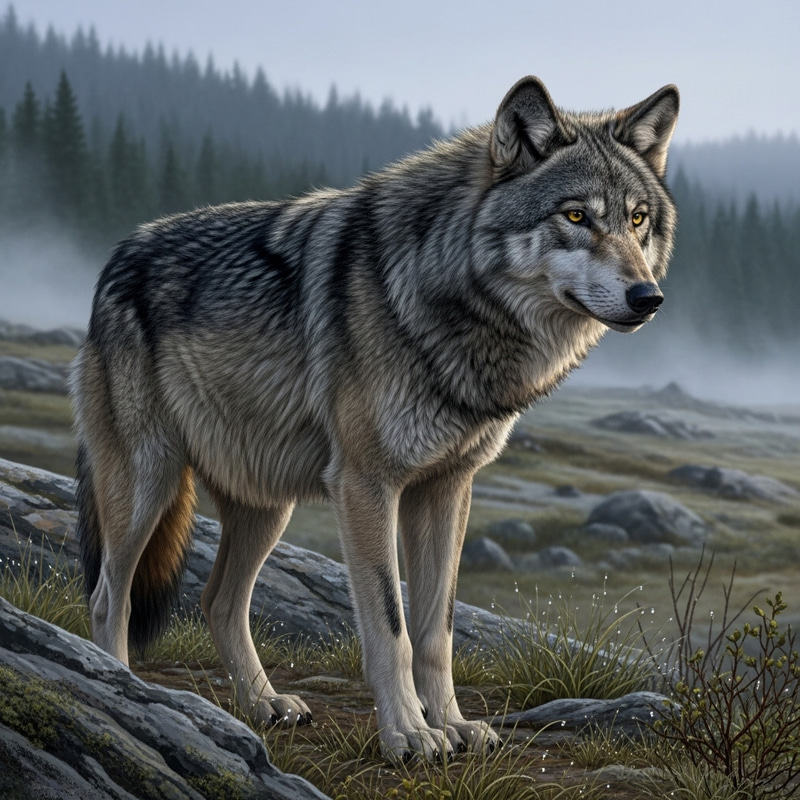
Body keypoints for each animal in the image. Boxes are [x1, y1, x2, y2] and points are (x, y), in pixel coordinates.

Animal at [71, 76, 679, 762]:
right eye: (576, 216)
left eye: (637, 219)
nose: (648, 297)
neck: (446, 297)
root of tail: (117, 255)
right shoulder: (367, 485)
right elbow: (391, 627)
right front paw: (410, 734)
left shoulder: (446, 488)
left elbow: (437, 630)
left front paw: (454, 724)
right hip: (148, 484)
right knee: (108, 597)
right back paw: (122, 686)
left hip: (266, 506)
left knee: (217, 600)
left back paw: (265, 703)